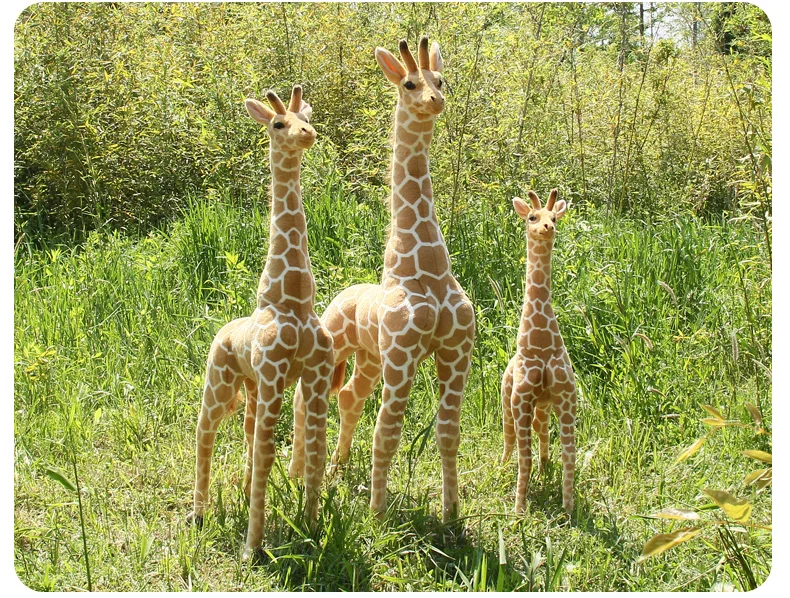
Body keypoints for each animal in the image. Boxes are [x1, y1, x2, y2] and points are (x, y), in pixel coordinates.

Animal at [186, 86, 334, 559]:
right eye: (277, 123)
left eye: (307, 116)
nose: (306, 135)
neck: (293, 302)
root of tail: (221, 332)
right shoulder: (273, 375)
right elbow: (270, 455)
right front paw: (252, 549)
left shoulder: (314, 376)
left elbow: (315, 451)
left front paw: (313, 527)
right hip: (219, 381)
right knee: (205, 433)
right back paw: (198, 513)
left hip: (251, 389)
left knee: (249, 435)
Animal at [291, 36, 475, 523]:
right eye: (409, 83)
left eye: (441, 80)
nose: (435, 101)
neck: (427, 269)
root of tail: (342, 295)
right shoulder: (403, 354)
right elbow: (387, 433)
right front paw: (377, 516)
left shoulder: (456, 352)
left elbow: (449, 433)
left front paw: (452, 514)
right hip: (339, 348)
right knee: (306, 399)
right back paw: (300, 474)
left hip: (370, 359)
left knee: (349, 396)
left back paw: (335, 468)